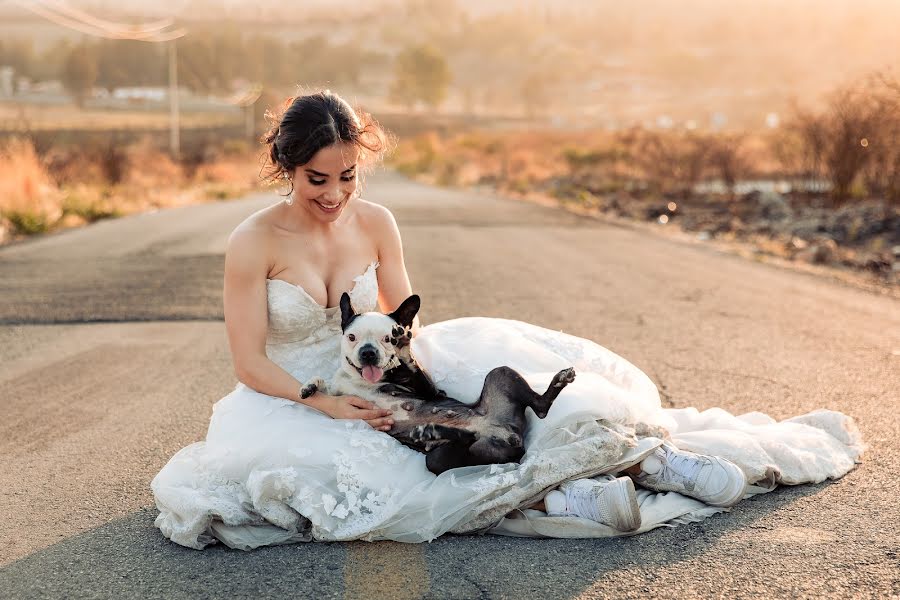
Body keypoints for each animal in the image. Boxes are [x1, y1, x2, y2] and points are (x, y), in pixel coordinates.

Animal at [298, 292, 572, 476]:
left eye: (387, 339)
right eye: (352, 337)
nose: (368, 352)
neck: (360, 380)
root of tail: (513, 438)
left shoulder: (430, 390)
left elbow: (414, 369)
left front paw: (404, 347)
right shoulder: (340, 393)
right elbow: (325, 386)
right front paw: (310, 385)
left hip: (499, 376)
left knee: (538, 407)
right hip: (450, 455)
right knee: (466, 439)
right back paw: (433, 433)